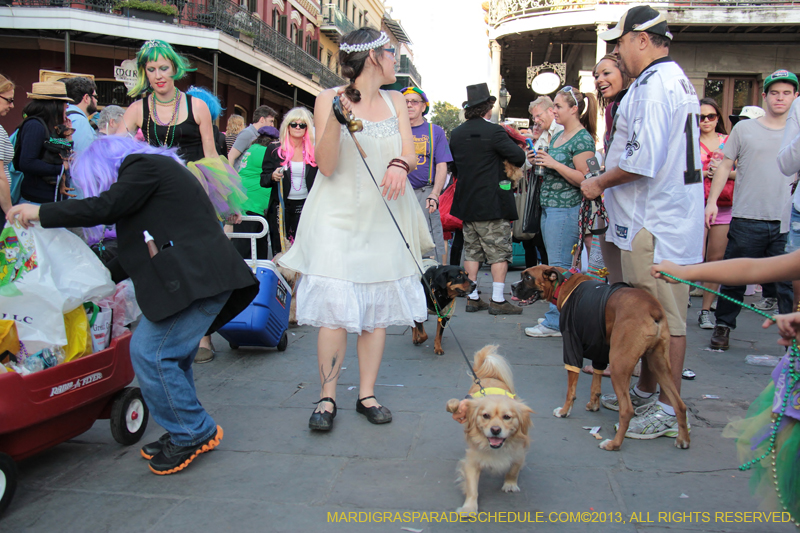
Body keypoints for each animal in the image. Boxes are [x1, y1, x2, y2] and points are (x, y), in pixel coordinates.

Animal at [446, 344, 536, 516]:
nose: (495, 430)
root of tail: (490, 376)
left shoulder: (518, 454)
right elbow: (472, 488)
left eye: (507, 417)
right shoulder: (472, 462)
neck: (497, 449)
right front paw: (469, 508)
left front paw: (510, 484)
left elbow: (513, 470)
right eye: (485, 416)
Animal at [512, 264, 688, 450]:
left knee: (627, 410)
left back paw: (614, 444)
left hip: (619, 366)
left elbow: (571, 389)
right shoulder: (600, 348)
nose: (512, 286)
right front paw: (593, 405)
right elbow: (596, 382)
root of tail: (653, 308)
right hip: (659, 365)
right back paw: (683, 439)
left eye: (528, 277)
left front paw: (564, 411)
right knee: (679, 405)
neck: (563, 283)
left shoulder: (572, 345)